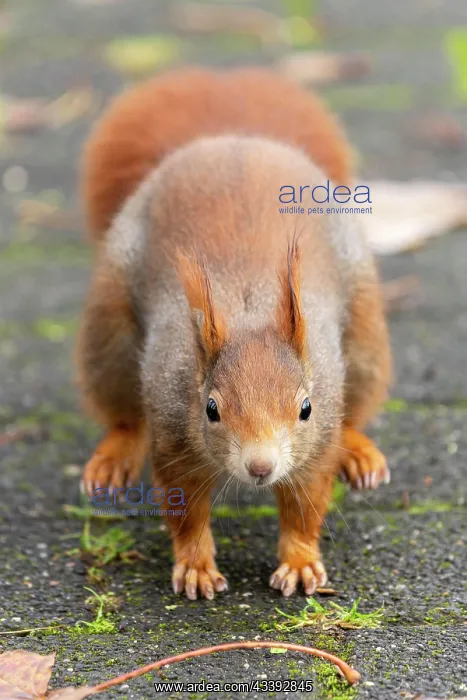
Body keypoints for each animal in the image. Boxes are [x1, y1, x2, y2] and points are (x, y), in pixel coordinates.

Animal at [77, 67, 391, 600]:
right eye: (211, 409)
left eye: (306, 408)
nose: (260, 468)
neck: (248, 309)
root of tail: (233, 138)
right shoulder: (174, 434)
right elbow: (185, 510)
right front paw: (196, 566)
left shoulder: (317, 440)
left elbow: (306, 505)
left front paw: (300, 562)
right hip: (110, 332)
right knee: (123, 414)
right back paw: (112, 458)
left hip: (365, 334)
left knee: (358, 406)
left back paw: (362, 453)